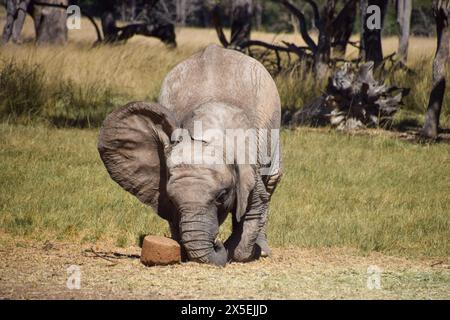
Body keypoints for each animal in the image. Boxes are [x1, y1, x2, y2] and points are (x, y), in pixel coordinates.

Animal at [98, 43, 282, 266]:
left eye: (222, 196)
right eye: (171, 198)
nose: (216, 243)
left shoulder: (249, 161)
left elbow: (254, 208)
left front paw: (239, 251)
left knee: (272, 180)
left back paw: (262, 250)